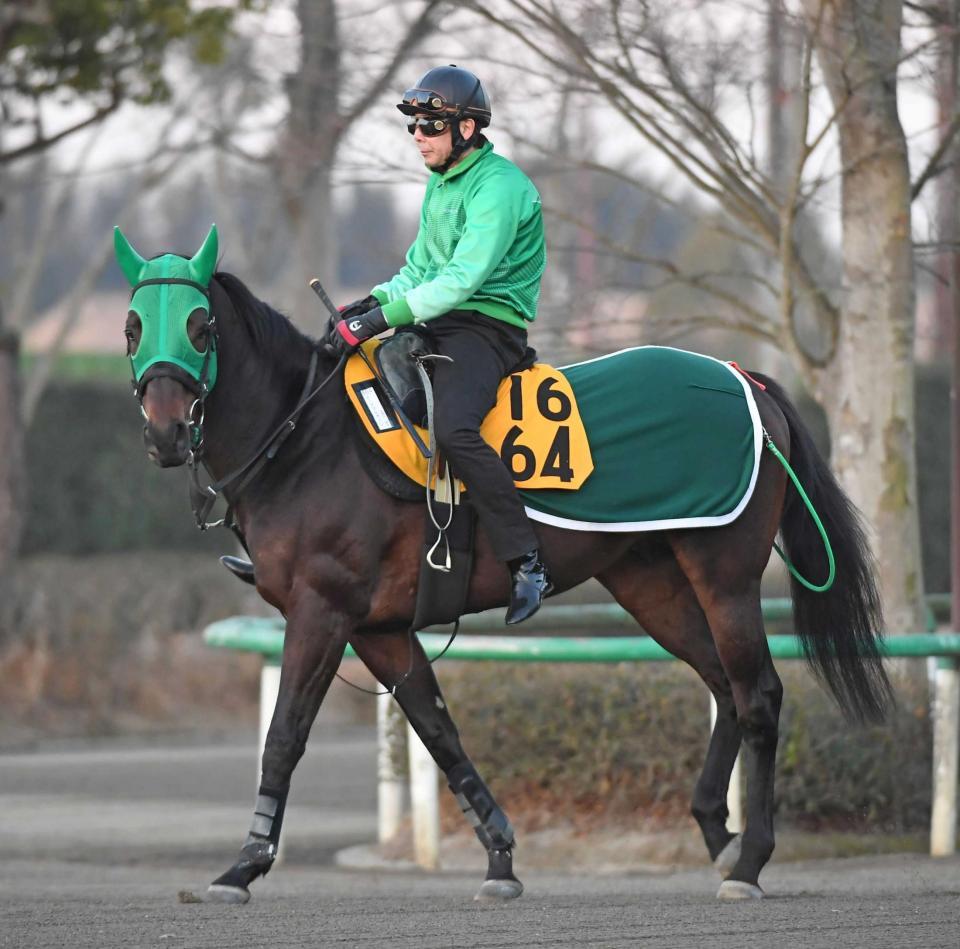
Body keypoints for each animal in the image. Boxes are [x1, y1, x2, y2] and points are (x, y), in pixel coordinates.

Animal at [120, 233, 892, 900]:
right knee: (724, 688)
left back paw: (751, 857)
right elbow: (439, 732)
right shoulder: (379, 628)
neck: (308, 439)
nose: (164, 430)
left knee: (758, 694)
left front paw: (244, 864)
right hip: (650, 582)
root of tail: (745, 377)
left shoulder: (322, 611)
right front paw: (499, 856)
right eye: (133, 326)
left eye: (199, 326)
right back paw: (717, 832)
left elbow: (283, 736)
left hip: (725, 575)